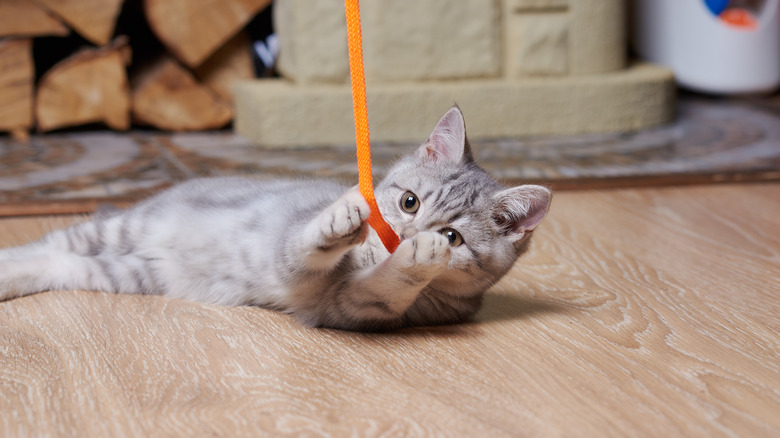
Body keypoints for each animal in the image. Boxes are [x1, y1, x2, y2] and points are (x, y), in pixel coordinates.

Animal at [0, 108, 552, 330]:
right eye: (410, 202)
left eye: (453, 236)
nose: (403, 236)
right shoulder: (292, 247)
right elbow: (303, 243)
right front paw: (342, 217)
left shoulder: (353, 308)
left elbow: (386, 286)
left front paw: (417, 258)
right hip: (120, 230)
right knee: (48, 243)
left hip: (128, 271)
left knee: (54, 262)